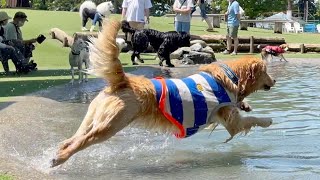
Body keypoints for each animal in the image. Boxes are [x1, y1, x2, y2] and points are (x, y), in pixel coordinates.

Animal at [51, 19, 276, 167]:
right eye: (266, 71)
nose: (275, 80)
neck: (231, 75)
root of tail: (123, 80)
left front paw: (246, 104)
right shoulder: (232, 122)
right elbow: (251, 120)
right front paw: (268, 120)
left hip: (93, 118)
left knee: (71, 139)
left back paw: (58, 152)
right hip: (109, 125)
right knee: (80, 142)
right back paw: (58, 159)